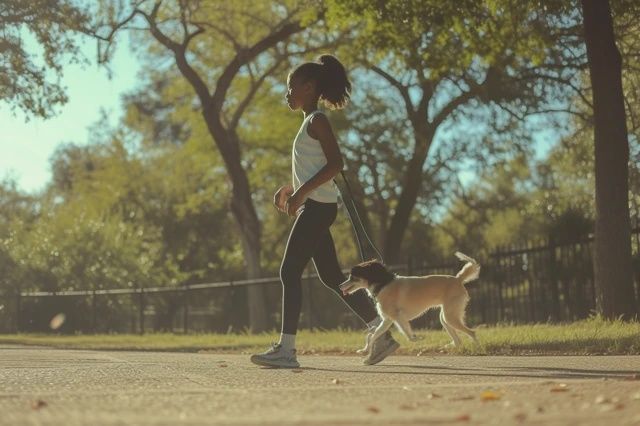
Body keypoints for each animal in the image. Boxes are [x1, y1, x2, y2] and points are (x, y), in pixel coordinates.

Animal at [340, 251, 480, 354]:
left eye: (352, 277)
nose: (340, 286)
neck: (383, 284)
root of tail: (458, 279)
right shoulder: (387, 320)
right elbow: (374, 335)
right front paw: (365, 350)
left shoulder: (397, 317)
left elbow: (407, 334)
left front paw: (417, 338)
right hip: (445, 318)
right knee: (458, 340)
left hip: (450, 317)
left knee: (472, 333)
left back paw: (477, 349)